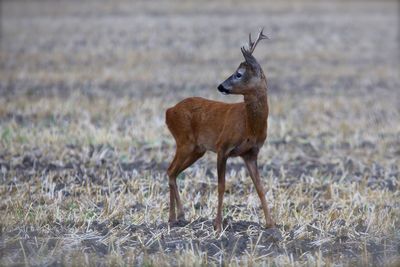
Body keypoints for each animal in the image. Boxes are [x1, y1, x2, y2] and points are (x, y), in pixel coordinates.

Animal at [166, 29, 276, 233]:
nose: (220, 86)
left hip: (197, 150)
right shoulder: (222, 147)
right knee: (170, 170)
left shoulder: (250, 153)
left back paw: (180, 216)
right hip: (184, 141)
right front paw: (217, 224)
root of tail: (169, 111)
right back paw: (172, 217)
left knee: (173, 173)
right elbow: (221, 186)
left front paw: (271, 224)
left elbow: (260, 187)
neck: (249, 126)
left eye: (238, 74)